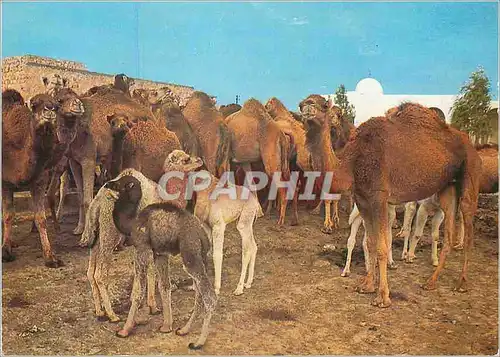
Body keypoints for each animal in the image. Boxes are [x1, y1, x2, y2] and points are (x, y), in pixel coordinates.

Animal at [1, 90, 65, 266]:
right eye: (35, 104)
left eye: (57, 106)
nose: (49, 109)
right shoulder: (5, 183)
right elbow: (8, 215)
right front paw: (5, 252)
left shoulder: (39, 182)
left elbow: (41, 218)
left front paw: (50, 257)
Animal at [105, 174, 215, 350]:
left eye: (120, 184)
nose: (107, 183)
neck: (131, 223)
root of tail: (202, 234)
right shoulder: (160, 254)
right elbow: (164, 286)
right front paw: (166, 326)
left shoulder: (141, 248)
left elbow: (138, 291)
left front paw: (124, 330)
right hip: (201, 257)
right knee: (199, 293)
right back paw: (183, 330)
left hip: (190, 254)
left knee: (209, 295)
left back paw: (198, 342)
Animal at [165, 149, 266, 294]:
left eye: (186, 159)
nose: (199, 159)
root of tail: (255, 203)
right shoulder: (206, 226)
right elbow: (205, 252)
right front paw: (196, 286)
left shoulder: (219, 226)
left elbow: (217, 254)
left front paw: (216, 288)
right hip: (247, 222)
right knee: (253, 246)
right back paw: (248, 283)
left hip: (243, 223)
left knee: (246, 249)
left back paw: (239, 288)